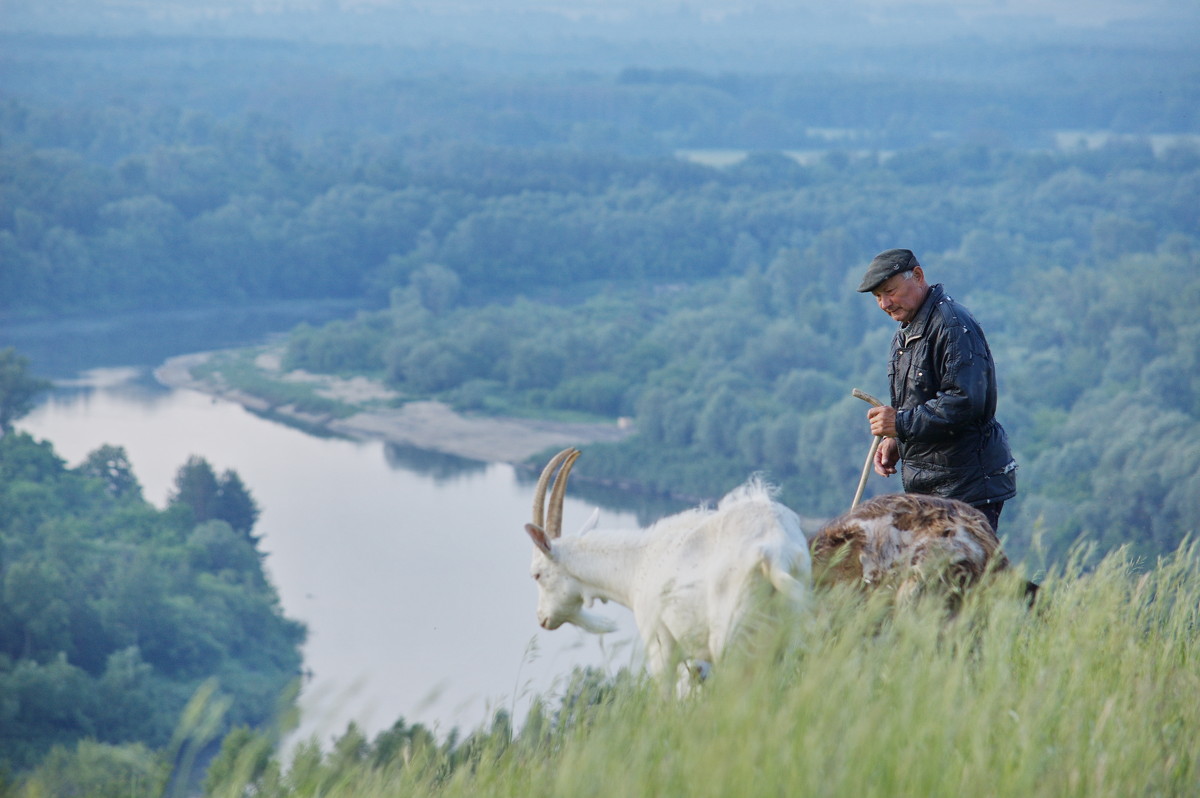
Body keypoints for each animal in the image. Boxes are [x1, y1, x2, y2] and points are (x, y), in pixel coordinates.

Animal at [523, 448, 811, 691]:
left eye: (537, 574)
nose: (541, 618)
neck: (637, 563)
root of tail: (774, 554)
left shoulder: (659, 640)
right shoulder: (695, 660)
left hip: (731, 635)